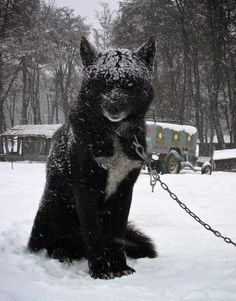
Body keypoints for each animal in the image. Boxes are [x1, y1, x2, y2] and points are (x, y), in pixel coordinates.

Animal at [27, 36, 157, 278]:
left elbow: (117, 236)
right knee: (50, 245)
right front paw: (100, 270)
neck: (114, 133)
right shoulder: (85, 189)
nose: (113, 107)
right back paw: (62, 253)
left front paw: (119, 266)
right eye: (102, 82)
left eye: (129, 83)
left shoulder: (124, 192)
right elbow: (93, 234)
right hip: (54, 209)